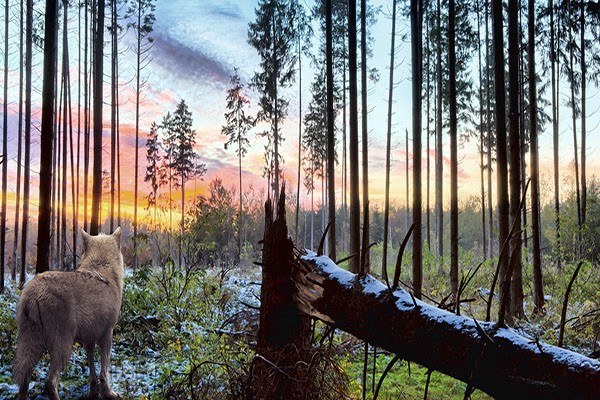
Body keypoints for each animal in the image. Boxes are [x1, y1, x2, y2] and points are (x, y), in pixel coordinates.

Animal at [12, 228, 124, 400]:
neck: (102, 267)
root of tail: (34, 291)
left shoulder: (89, 339)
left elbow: (92, 370)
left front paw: (93, 393)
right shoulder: (107, 334)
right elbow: (104, 370)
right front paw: (108, 393)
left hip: (31, 344)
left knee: (23, 377)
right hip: (63, 347)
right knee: (50, 382)